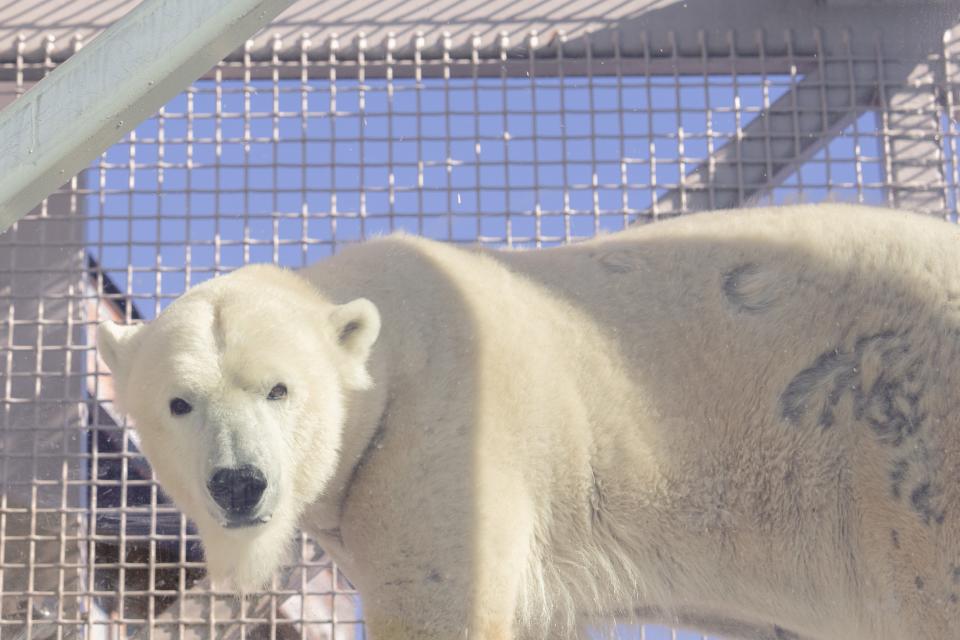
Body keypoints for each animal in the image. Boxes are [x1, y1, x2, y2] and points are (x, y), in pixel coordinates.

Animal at [95, 206, 960, 640]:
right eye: (179, 402)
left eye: (280, 389)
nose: (238, 484)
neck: (394, 344)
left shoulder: (443, 434)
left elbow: (443, 608)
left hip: (905, 441)